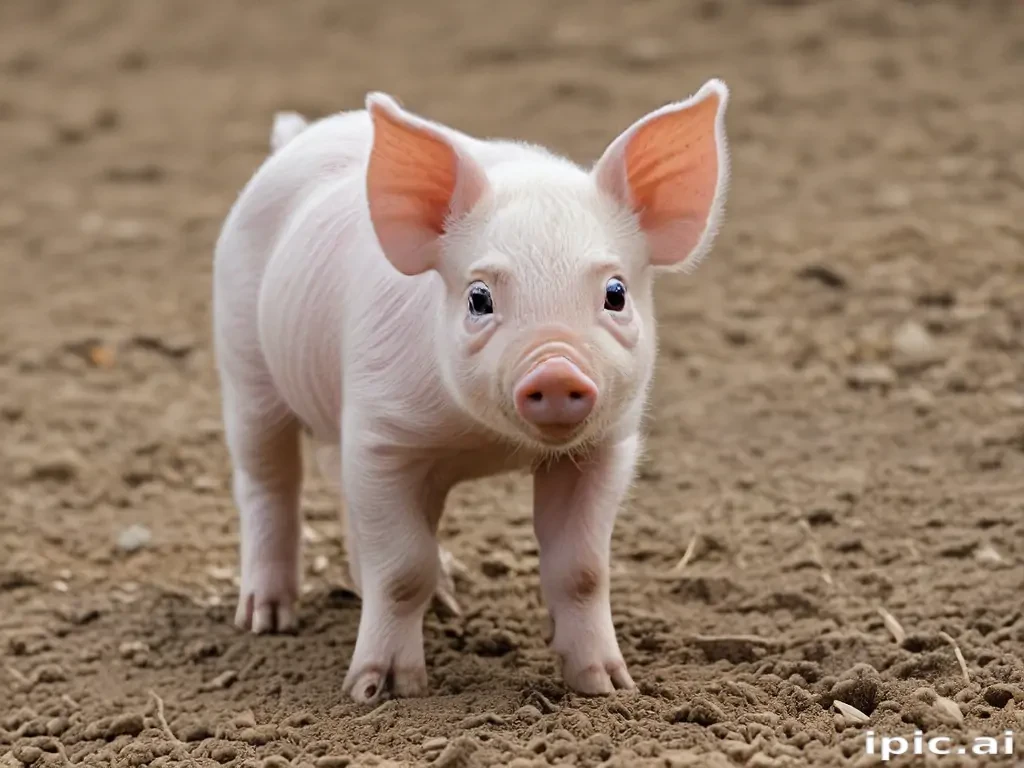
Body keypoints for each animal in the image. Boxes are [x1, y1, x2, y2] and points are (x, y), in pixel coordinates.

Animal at [212, 79, 730, 704]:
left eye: (615, 293)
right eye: (479, 298)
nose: (555, 371)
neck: (484, 442)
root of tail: (299, 137)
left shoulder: (605, 447)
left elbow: (581, 570)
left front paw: (608, 687)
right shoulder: (383, 434)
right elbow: (402, 567)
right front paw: (383, 691)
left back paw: (445, 600)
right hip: (244, 361)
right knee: (267, 481)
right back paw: (266, 620)